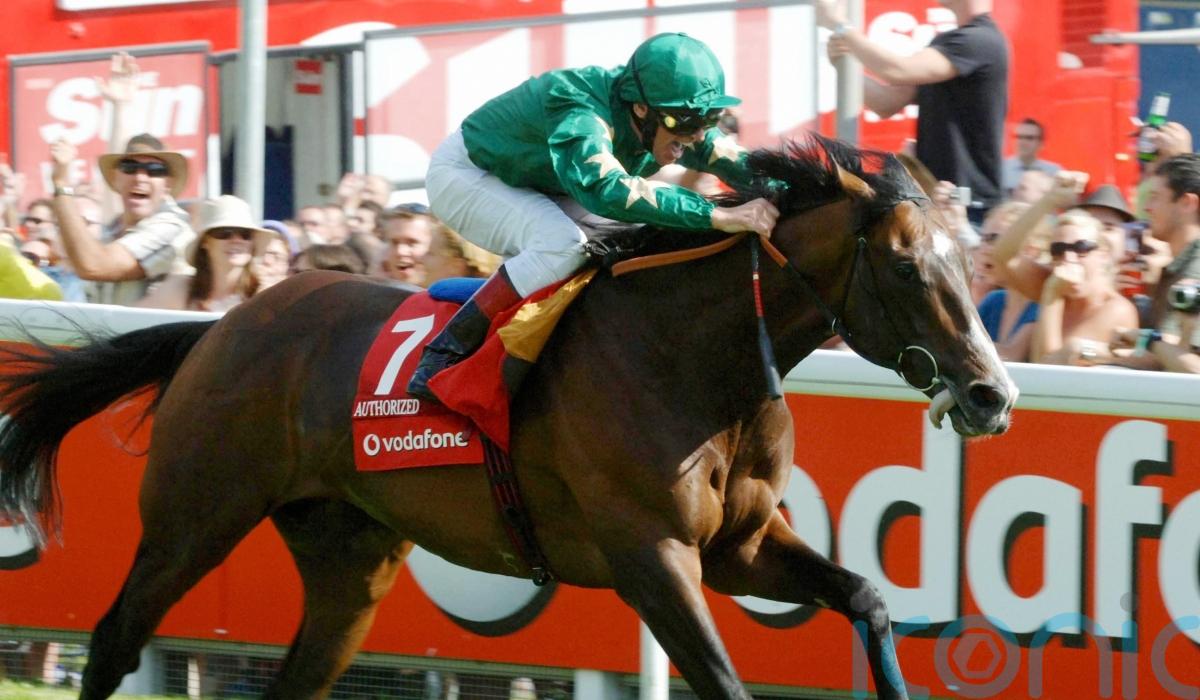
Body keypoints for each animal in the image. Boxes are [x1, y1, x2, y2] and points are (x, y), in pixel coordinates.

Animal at [0, 135, 1016, 700]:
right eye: (905, 266)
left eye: (969, 262)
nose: (992, 396)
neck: (697, 360)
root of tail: (223, 325)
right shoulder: (652, 556)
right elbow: (727, 682)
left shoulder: (739, 546)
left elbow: (867, 597)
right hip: (195, 516)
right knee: (112, 641)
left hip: (347, 561)